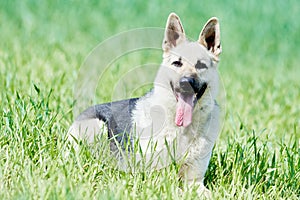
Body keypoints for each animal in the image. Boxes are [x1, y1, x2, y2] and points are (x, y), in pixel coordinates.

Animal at [69, 12, 221, 197]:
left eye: (201, 65)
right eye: (177, 63)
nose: (186, 83)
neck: (182, 129)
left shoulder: (195, 182)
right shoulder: (157, 179)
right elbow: (175, 190)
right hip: (98, 127)